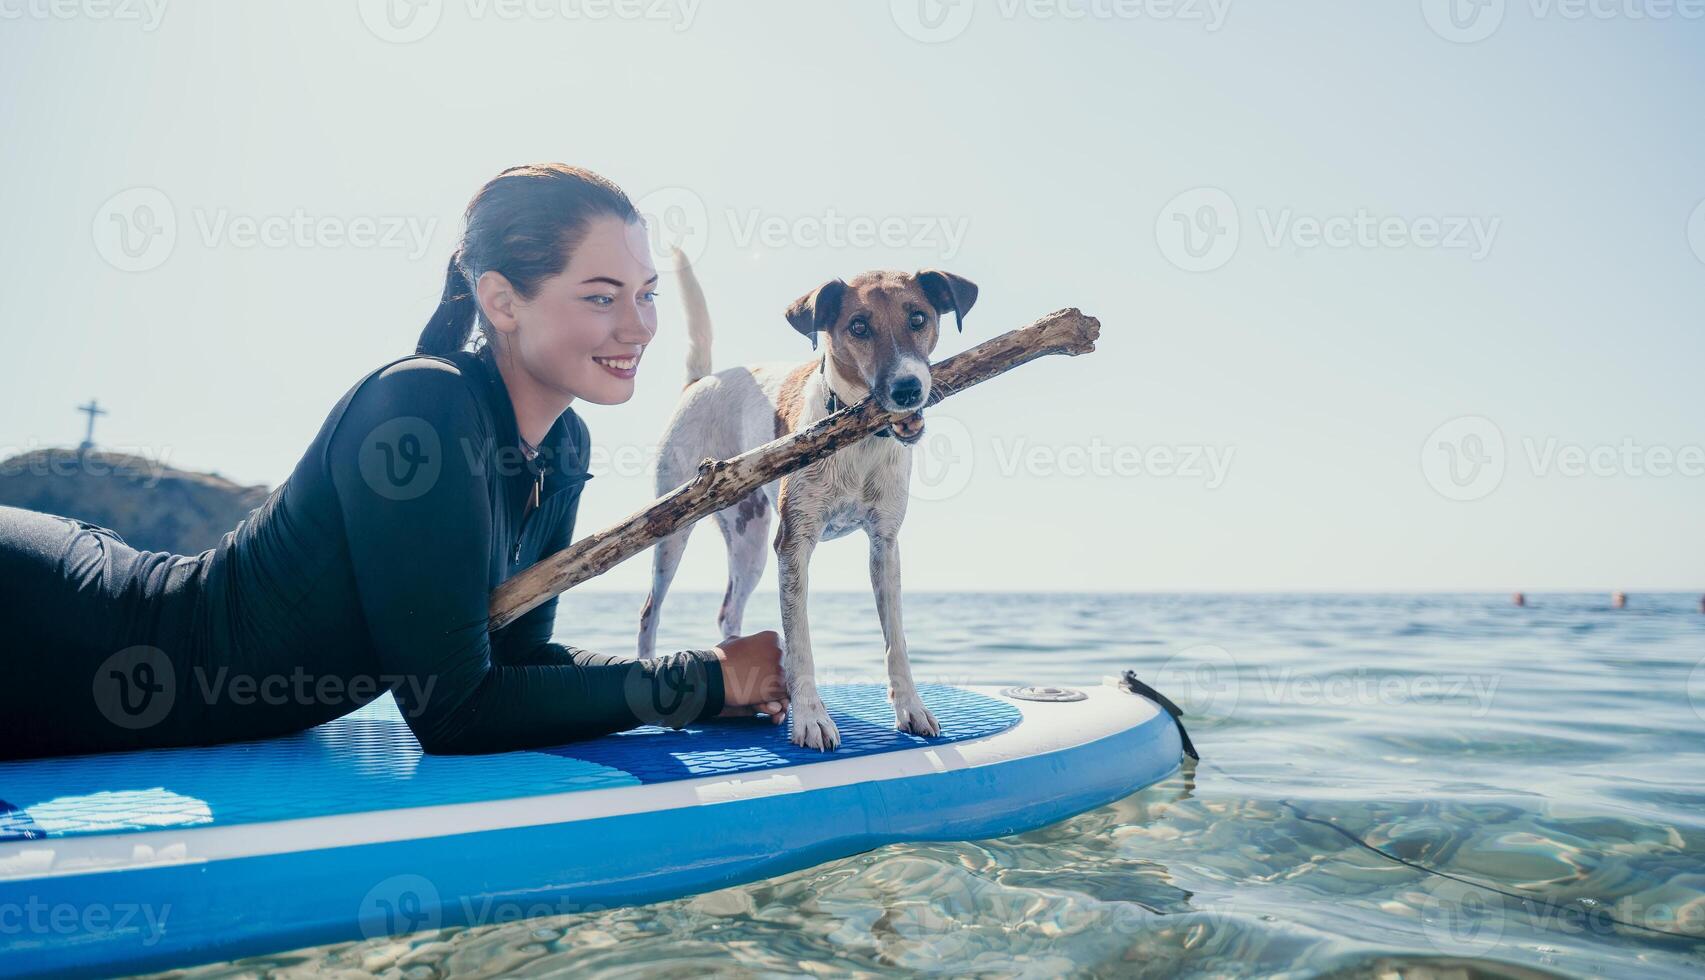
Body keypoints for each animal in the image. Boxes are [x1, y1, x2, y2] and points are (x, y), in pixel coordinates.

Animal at [637, 255, 975, 749]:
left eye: (918, 318)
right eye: (858, 326)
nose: (908, 389)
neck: (858, 439)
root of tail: (702, 380)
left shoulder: (885, 544)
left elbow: (896, 639)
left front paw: (911, 708)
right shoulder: (794, 546)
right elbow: (800, 643)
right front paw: (811, 717)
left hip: (751, 544)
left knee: (728, 611)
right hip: (674, 532)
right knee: (650, 610)